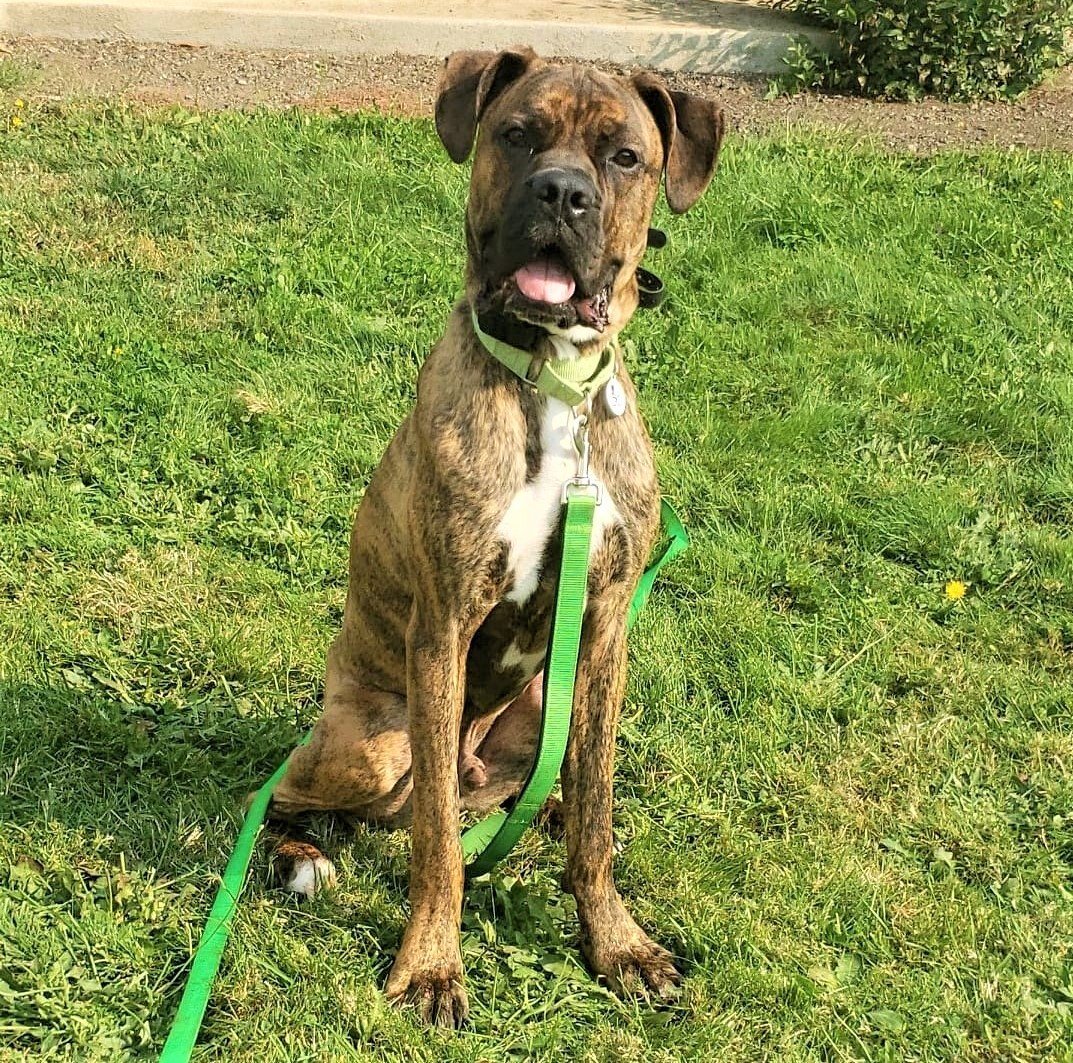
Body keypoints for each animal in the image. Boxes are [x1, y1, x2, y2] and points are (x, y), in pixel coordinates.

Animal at [266, 52, 729, 1029]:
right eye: (516, 135)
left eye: (624, 156)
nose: (560, 192)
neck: (552, 382)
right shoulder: (443, 622)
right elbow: (440, 842)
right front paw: (432, 964)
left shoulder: (601, 630)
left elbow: (594, 809)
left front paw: (615, 940)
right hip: (379, 739)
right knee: (300, 792)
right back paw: (300, 854)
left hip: (538, 702)